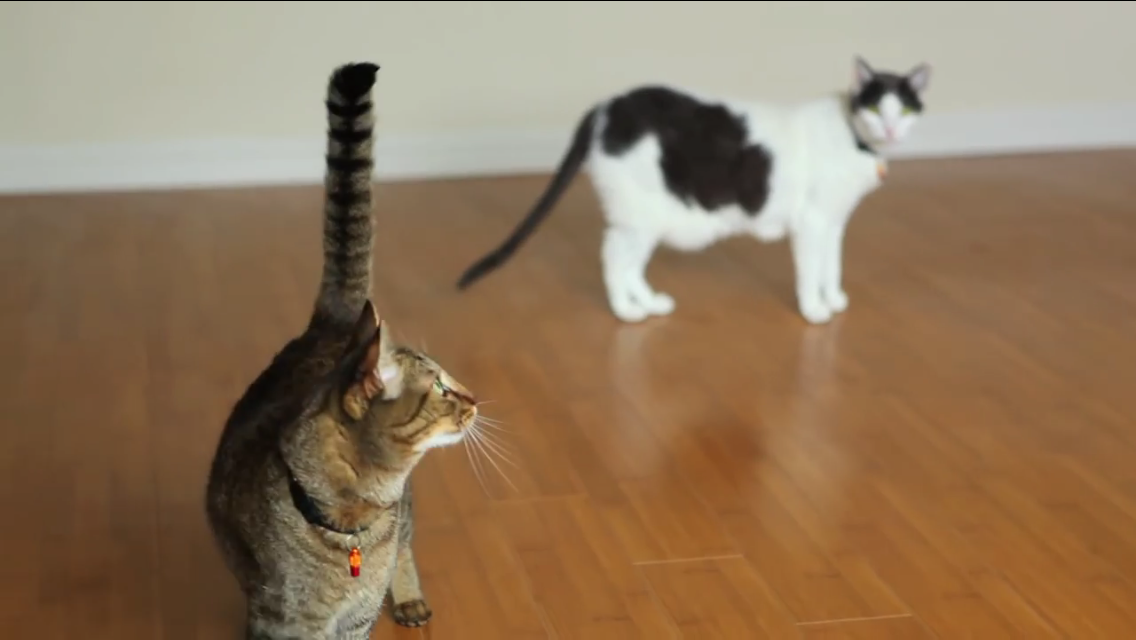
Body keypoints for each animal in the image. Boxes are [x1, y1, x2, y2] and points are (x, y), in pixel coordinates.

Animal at [204, 61, 479, 640]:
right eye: (440, 387)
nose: (474, 397)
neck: (354, 525)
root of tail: (336, 321)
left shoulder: (356, 619)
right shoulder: (277, 618)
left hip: (406, 522)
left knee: (405, 546)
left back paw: (409, 598)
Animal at [452, 55, 931, 325]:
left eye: (906, 110)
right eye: (875, 107)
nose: (890, 128)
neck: (858, 141)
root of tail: (606, 106)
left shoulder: (833, 223)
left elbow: (833, 265)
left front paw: (833, 299)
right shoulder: (813, 222)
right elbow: (812, 270)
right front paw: (814, 310)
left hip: (649, 218)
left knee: (630, 262)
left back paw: (649, 303)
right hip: (640, 213)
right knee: (613, 256)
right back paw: (626, 312)